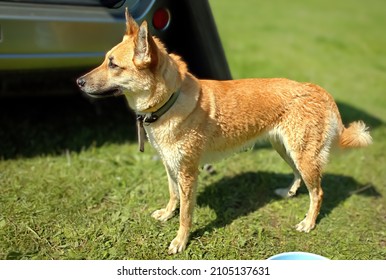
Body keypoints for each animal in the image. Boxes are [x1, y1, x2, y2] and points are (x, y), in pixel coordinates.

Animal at [77, 8, 372, 254]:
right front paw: (167, 214)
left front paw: (180, 241)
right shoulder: (170, 164)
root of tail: (319, 90)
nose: (78, 81)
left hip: (302, 155)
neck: (170, 99)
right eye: (104, 61)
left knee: (318, 192)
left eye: (113, 64)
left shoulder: (188, 173)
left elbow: (186, 214)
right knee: (300, 178)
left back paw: (308, 223)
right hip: (285, 150)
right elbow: (173, 196)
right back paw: (288, 193)